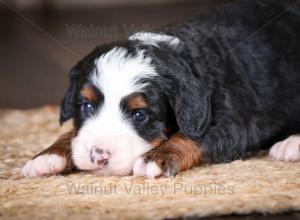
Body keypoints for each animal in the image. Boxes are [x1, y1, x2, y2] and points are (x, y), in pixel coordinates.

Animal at [21, 0, 300, 178]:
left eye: (139, 114)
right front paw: (48, 156)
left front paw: (155, 158)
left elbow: (191, 137)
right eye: (87, 106)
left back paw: (291, 145)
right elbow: (72, 133)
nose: (99, 155)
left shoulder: (232, 123)